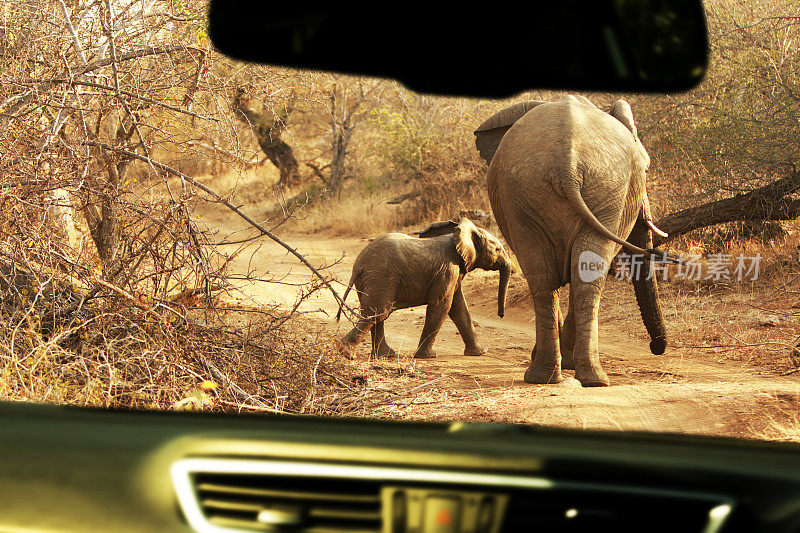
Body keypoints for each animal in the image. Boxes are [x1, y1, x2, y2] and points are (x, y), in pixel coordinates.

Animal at [336, 218, 512, 360]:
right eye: (497, 250)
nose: (501, 315)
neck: (458, 234)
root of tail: (358, 265)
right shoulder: (448, 270)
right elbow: (442, 306)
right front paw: (428, 356)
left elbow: (459, 308)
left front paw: (480, 352)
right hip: (381, 277)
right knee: (379, 312)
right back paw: (345, 352)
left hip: (370, 280)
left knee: (377, 314)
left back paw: (384, 355)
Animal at [476, 95, 668, 386]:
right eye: (646, 169)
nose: (656, 347)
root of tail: (567, 163)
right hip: (598, 192)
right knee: (576, 275)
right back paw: (582, 376)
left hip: (550, 191)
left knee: (548, 275)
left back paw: (552, 376)